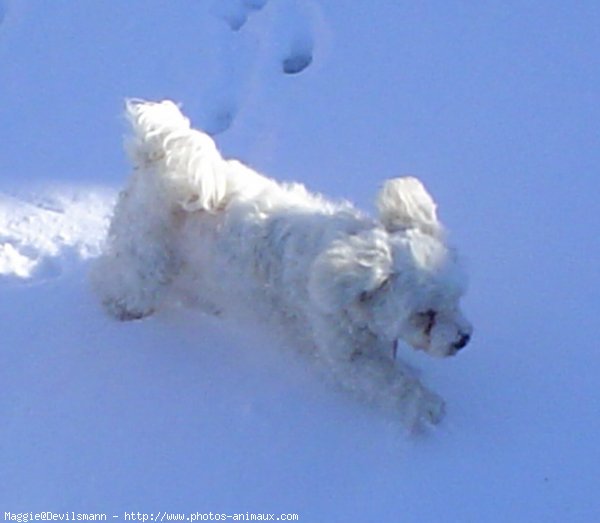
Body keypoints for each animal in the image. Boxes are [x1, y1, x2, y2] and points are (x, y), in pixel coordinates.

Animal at [92, 100, 474, 428]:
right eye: (424, 315)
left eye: (457, 300)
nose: (463, 339)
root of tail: (159, 154)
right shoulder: (342, 353)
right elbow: (389, 382)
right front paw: (425, 405)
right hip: (147, 258)